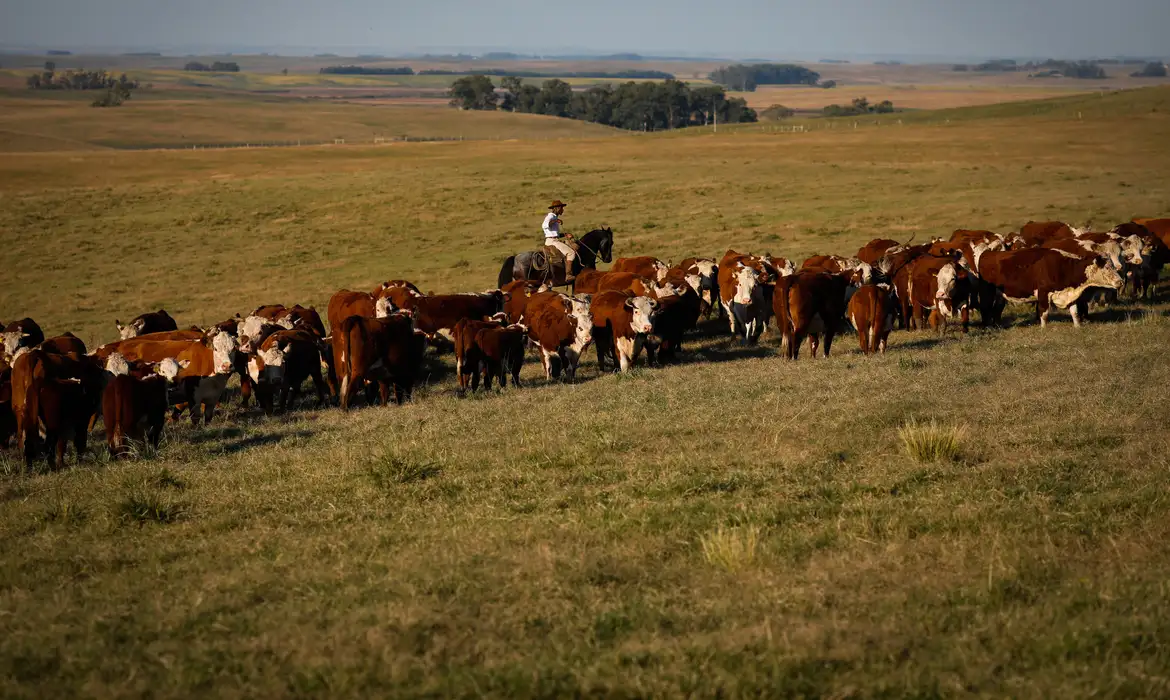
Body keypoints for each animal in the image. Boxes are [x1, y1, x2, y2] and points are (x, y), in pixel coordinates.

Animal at [978, 248, 1123, 327]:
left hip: (999, 296)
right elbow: (1044, 313)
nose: (1120, 282)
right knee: (985, 309)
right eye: (1107, 267)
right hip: (987, 292)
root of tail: (987, 254)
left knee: (997, 310)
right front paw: (1043, 329)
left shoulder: (1070, 294)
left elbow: (1074, 312)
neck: (1064, 267)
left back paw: (996, 325)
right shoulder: (1043, 293)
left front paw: (1078, 327)